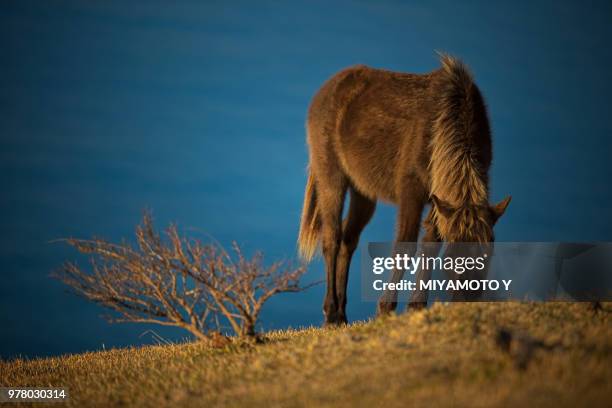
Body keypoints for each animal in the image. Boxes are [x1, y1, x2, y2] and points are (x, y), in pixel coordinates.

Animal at [298, 54, 510, 326]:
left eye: (490, 244)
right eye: (454, 250)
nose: (469, 298)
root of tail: (326, 89)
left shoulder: (439, 197)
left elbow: (430, 244)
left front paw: (416, 306)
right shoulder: (412, 192)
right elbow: (404, 246)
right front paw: (386, 308)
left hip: (363, 191)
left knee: (348, 238)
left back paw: (343, 315)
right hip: (331, 176)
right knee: (331, 238)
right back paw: (332, 312)